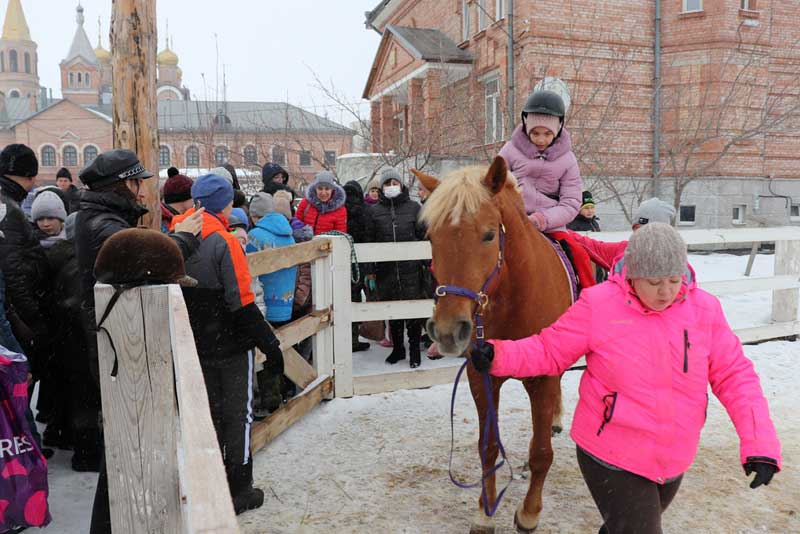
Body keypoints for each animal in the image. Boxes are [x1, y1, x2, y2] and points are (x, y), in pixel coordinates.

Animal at [412, 157, 576, 532]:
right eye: (431, 237)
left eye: (489, 234)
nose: (448, 331)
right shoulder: (481, 376)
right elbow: (487, 446)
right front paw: (484, 511)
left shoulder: (543, 377)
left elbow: (541, 453)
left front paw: (529, 513)